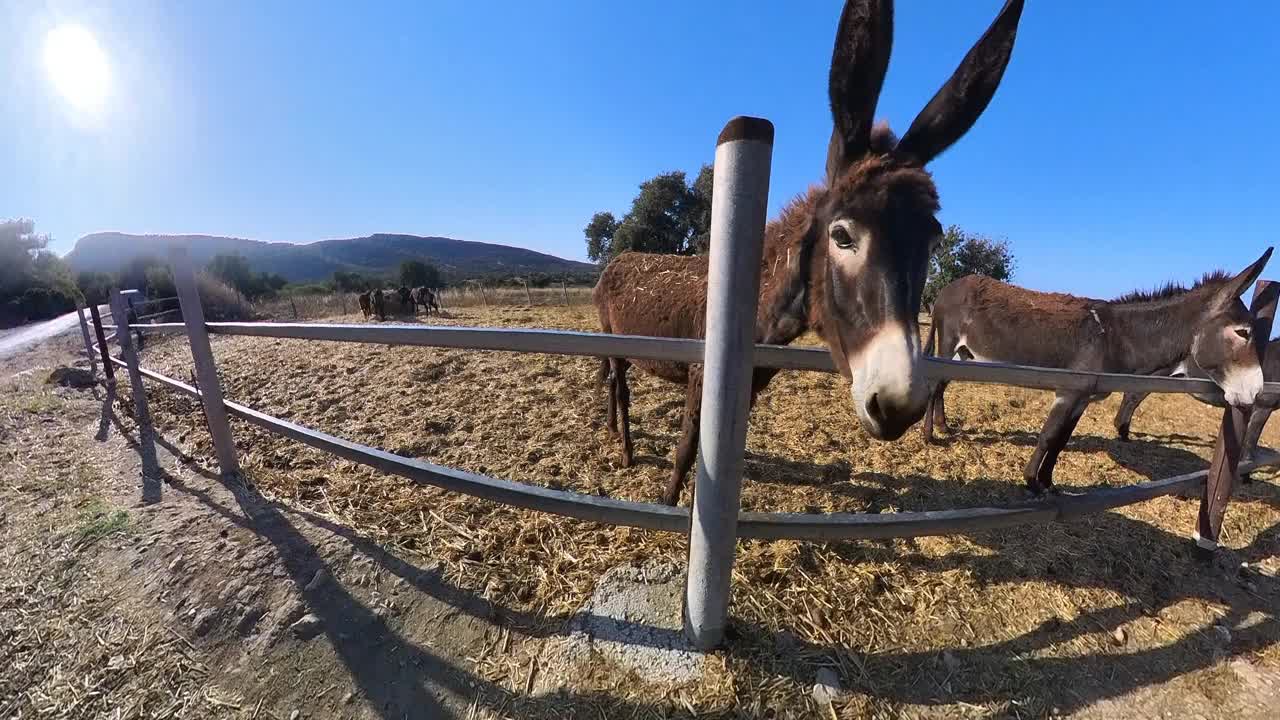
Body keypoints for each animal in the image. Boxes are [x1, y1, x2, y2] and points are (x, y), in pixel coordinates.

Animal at [593, 0, 1024, 504]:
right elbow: (685, 452)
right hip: (612, 337)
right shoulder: (702, 380)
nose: (898, 405)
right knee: (619, 386)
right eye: (842, 236)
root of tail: (618, 260)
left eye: (933, 242)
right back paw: (624, 449)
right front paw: (668, 503)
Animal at [921, 248, 1269, 491]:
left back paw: (941, 426)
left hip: (964, 353)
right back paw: (929, 436)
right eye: (1243, 333)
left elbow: (1061, 440)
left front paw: (1048, 485)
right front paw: (1031, 482)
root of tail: (948, 287)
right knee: (935, 383)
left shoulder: (1084, 397)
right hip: (948, 343)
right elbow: (1048, 436)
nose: (1257, 393)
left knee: (943, 384)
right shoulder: (1068, 391)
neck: (1116, 336)